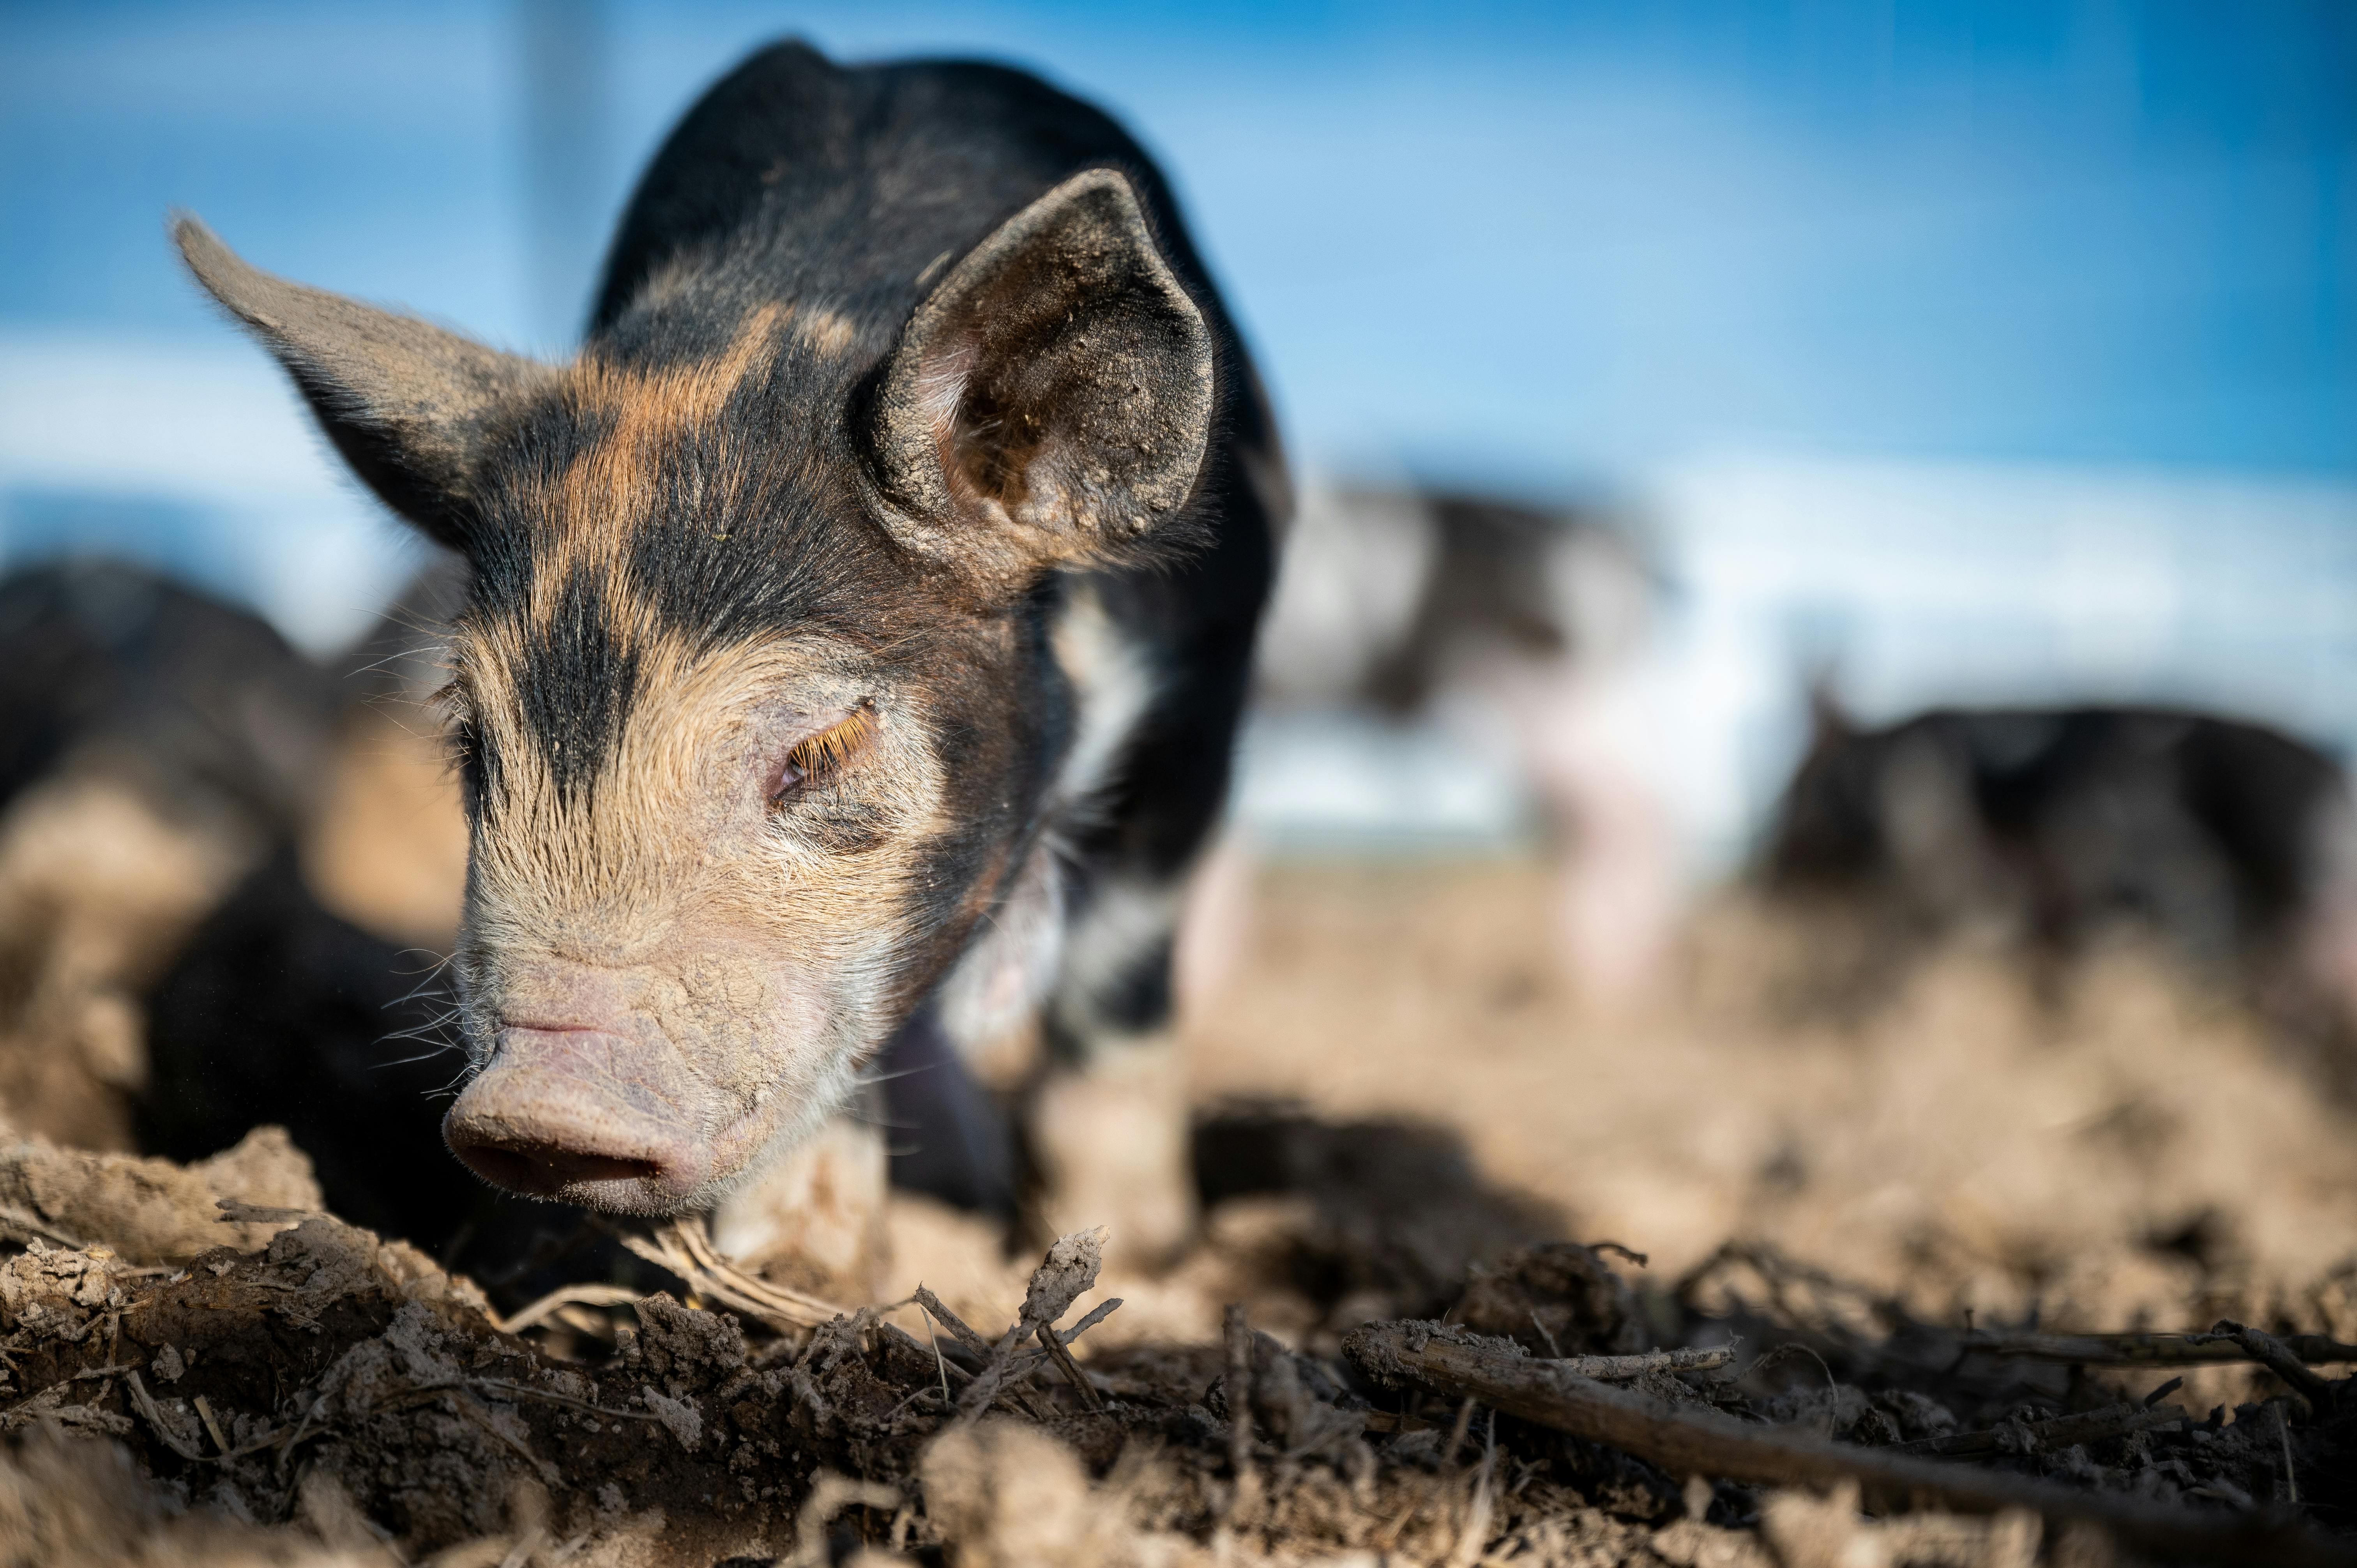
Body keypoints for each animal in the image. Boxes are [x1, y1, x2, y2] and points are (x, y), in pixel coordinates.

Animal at [175, 40, 1284, 1269]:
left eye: (826, 744)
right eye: (471, 738)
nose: (538, 1112)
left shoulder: (1205, 688)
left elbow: (1119, 976)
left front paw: (1138, 1256)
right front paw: (797, 1269)